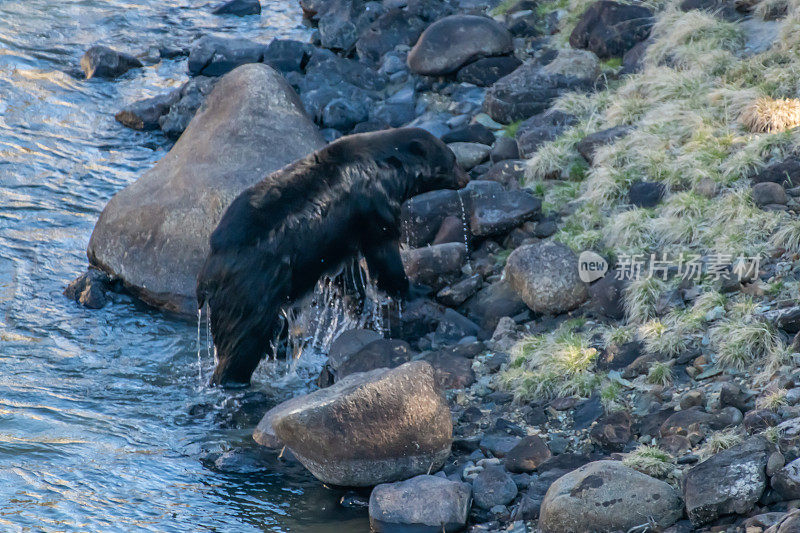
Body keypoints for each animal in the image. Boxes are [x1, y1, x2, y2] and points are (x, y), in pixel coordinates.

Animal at [196, 129, 466, 386]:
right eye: (452, 159)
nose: (466, 177)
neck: (387, 168)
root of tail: (208, 275)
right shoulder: (374, 207)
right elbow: (384, 254)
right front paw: (416, 290)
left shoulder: (343, 237)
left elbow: (348, 275)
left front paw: (358, 305)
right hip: (252, 289)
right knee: (243, 340)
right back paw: (234, 380)